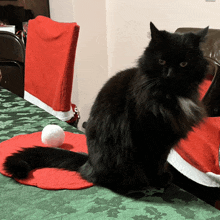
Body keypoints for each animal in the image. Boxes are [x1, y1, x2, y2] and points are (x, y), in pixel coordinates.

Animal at [4, 21, 209, 191]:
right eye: (162, 61)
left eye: (184, 64)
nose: (169, 75)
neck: (170, 96)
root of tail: (89, 161)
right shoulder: (148, 138)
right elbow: (153, 165)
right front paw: (158, 181)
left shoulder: (166, 141)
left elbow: (160, 161)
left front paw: (161, 178)